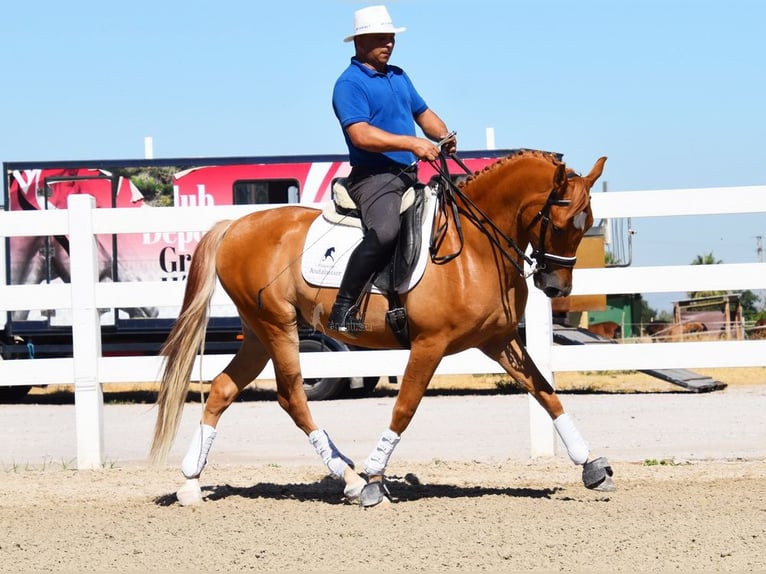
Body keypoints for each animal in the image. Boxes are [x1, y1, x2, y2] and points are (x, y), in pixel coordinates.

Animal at [152, 150, 616, 508]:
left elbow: (545, 391)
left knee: (223, 388)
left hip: (258, 333)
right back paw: (352, 480)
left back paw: (191, 483)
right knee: (292, 397)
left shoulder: (499, 340)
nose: (556, 288)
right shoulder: (430, 344)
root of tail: (233, 226)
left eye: (588, 220)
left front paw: (591, 466)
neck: (475, 248)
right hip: (278, 328)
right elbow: (404, 407)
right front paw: (375, 476)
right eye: (561, 223)